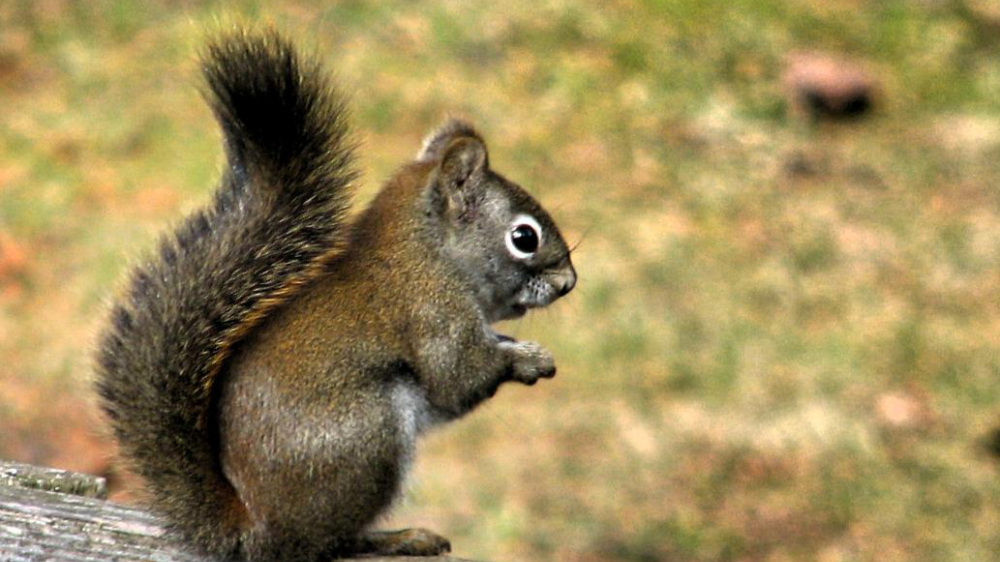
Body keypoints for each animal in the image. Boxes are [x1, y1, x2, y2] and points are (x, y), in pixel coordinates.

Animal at [94, 28, 576, 562]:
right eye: (524, 237)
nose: (568, 282)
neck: (428, 254)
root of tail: (255, 530)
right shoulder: (433, 313)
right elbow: (459, 378)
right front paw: (528, 359)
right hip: (368, 438)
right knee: (328, 542)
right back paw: (399, 538)